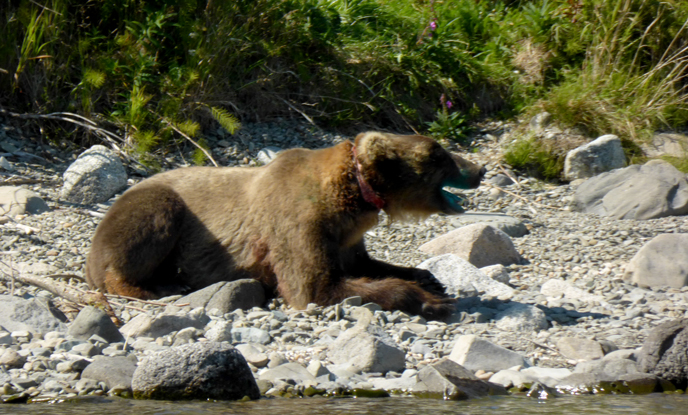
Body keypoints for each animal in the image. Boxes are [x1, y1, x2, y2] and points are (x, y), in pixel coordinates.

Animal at [84, 132, 484, 320]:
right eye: (439, 153)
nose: (479, 169)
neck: (353, 194)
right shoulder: (298, 220)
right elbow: (314, 286)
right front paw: (434, 301)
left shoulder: (346, 236)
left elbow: (365, 264)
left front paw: (430, 279)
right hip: (152, 206)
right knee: (144, 228)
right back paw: (152, 288)